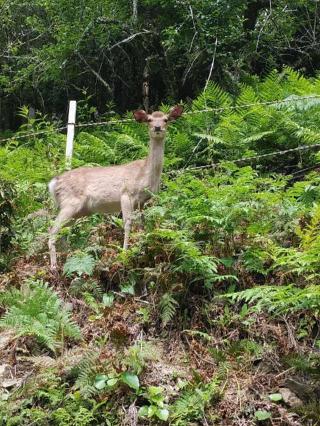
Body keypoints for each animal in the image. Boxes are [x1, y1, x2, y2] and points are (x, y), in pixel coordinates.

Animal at [47, 105, 182, 270]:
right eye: (149, 119)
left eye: (166, 119)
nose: (157, 127)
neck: (146, 174)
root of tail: (53, 183)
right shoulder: (126, 195)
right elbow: (128, 224)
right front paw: (124, 253)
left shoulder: (142, 202)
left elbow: (142, 225)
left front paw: (144, 246)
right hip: (69, 202)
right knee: (52, 230)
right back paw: (54, 266)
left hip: (78, 211)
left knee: (63, 233)